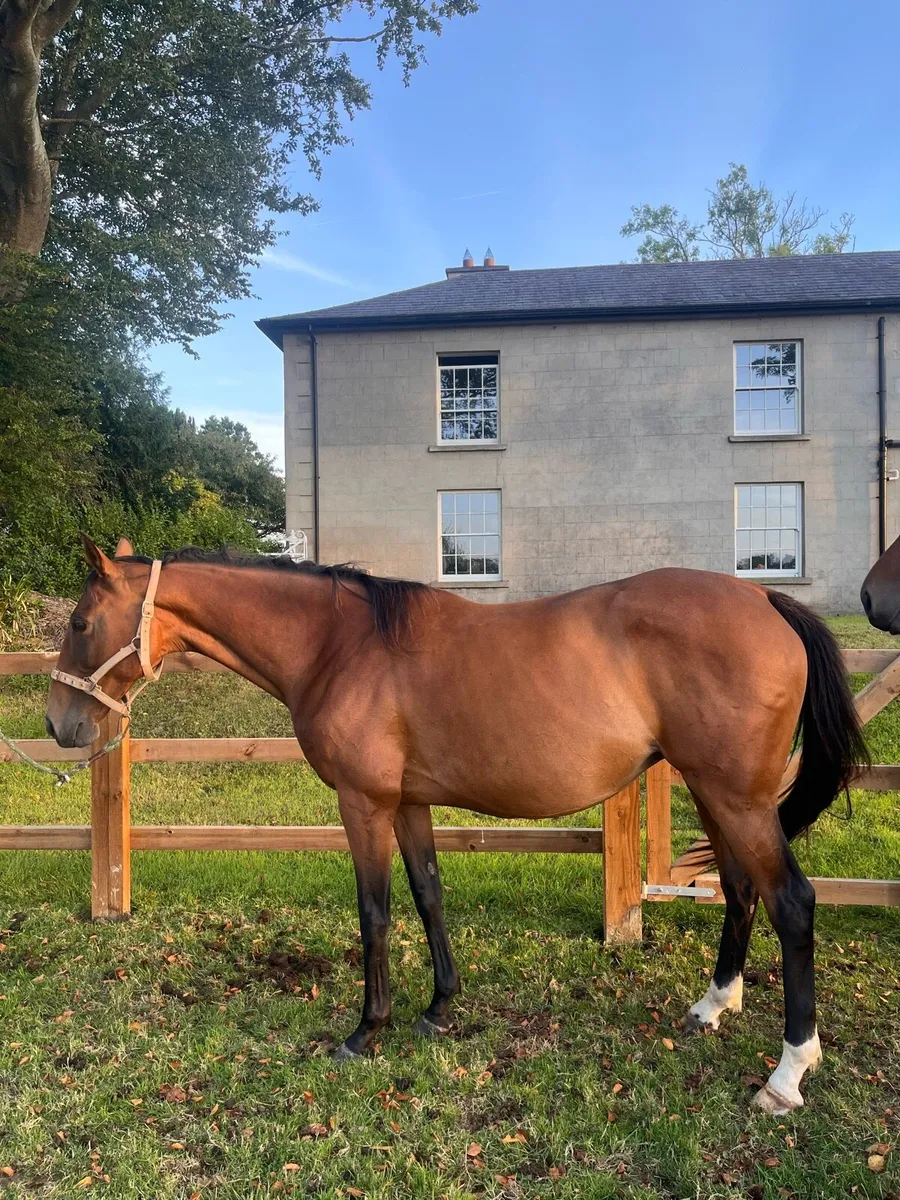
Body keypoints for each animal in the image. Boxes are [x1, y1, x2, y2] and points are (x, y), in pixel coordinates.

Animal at [45, 536, 867, 1115]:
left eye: (81, 622)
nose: (58, 725)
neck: (339, 645)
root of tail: (765, 599)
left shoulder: (363, 803)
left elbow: (375, 911)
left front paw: (365, 1029)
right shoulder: (407, 802)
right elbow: (428, 895)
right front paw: (440, 1008)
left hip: (737, 797)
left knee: (792, 903)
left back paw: (787, 1073)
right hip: (716, 791)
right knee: (740, 891)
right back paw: (712, 1006)